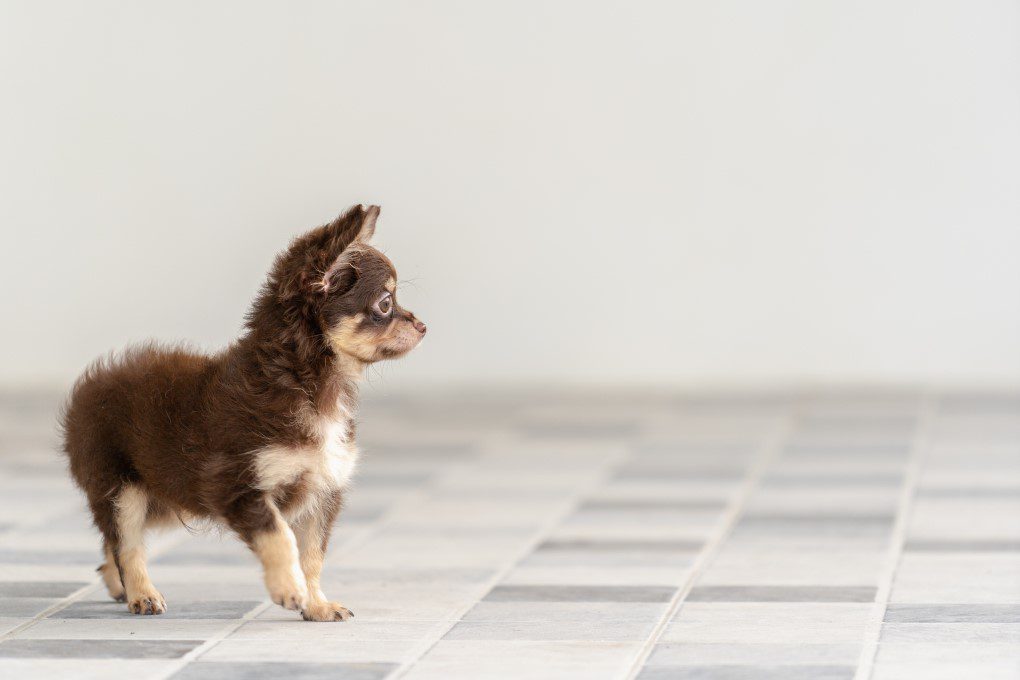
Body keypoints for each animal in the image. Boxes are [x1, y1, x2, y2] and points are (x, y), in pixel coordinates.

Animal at [59, 207, 426, 623]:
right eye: (385, 303)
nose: (423, 325)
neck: (313, 386)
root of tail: (88, 387)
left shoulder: (322, 491)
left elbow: (313, 555)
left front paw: (316, 605)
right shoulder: (235, 485)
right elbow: (280, 536)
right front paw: (288, 589)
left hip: (165, 494)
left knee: (112, 542)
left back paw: (116, 582)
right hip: (123, 490)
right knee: (127, 543)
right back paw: (142, 593)